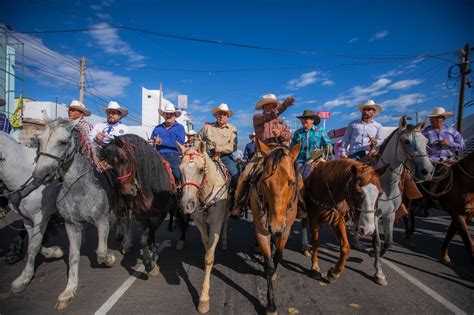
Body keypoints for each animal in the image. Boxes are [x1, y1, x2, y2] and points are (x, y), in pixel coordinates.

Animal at [0, 131, 64, 294]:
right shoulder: (28, 218)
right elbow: (34, 243)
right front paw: (54, 251)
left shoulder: (41, 215)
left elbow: (34, 245)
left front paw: (25, 278)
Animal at [31, 119, 116, 310]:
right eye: (39, 141)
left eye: (63, 142)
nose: (40, 175)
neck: (79, 187)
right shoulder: (71, 225)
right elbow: (73, 256)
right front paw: (68, 291)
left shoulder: (102, 221)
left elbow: (101, 251)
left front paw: (110, 259)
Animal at [178, 142, 230, 314]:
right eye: (180, 169)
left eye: (201, 169)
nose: (186, 205)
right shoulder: (199, 222)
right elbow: (207, 245)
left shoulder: (216, 223)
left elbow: (209, 258)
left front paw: (204, 299)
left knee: (227, 222)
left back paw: (224, 242)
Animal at [248, 141, 300, 315]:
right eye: (265, 182)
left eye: (292, 182)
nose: (275, 227)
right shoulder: (262, 231)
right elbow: (269, 265)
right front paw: (271, 305)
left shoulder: (286, 230)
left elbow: (277, 256)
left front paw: (276, 272)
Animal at [352, 118, 434, 286]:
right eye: (406, 141)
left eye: (426, 141)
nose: (427, 171)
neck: (385, 185)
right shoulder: (375, 215)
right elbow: (377, 242)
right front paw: (379, 272)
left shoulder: (389, 214)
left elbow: (388, 242)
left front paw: (372, 254)